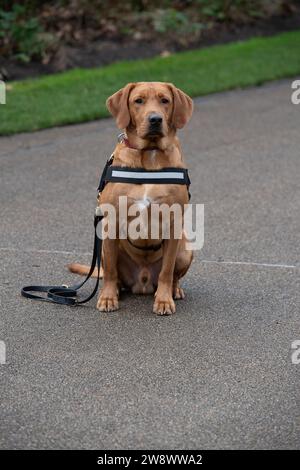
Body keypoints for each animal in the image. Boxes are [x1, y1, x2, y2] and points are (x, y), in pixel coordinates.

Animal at [69, 82, 193, 314]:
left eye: (165, 100)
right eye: (139, 101)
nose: (155, 119)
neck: (150, 153)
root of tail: (142, 282)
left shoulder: (173, 224)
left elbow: (166, 271)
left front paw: (163, 300)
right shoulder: (110, 223)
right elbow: (110, 272)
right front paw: (108, 298)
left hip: (185, 250)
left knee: (171, 275)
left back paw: (174, 291)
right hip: (107, 248)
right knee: (113, 273)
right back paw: (115, 290)